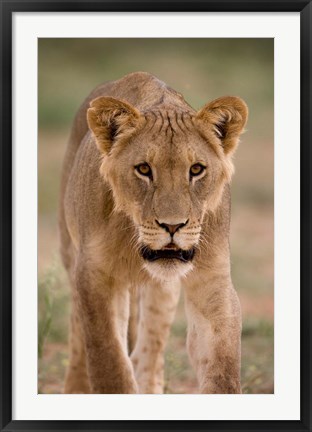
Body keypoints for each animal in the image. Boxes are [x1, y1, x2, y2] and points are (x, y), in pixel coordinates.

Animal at [58, 71, 247, 394]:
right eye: (144, 169)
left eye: (196, 169)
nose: (172, 226)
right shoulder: (95, 276)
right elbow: (109, 363)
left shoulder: (212, 280)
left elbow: (221, 366)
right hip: (70, 254)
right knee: (76, 330)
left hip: (163, 293)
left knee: (149, 353)